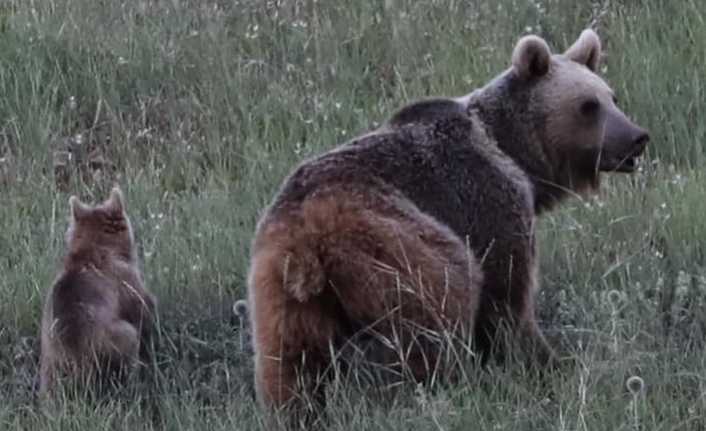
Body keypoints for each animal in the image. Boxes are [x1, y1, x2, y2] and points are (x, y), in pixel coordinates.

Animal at [245, 28, 648, 414]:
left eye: (612, 98)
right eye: (588, 105)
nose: (637, 137)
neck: (514, 151)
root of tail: (308, 233)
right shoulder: (487, 200)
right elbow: (507, 295)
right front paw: (543, 360)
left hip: (279, 292)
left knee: (291, 363)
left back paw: (298, 410)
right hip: (395, 243)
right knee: (441, 310)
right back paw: (449, 383)